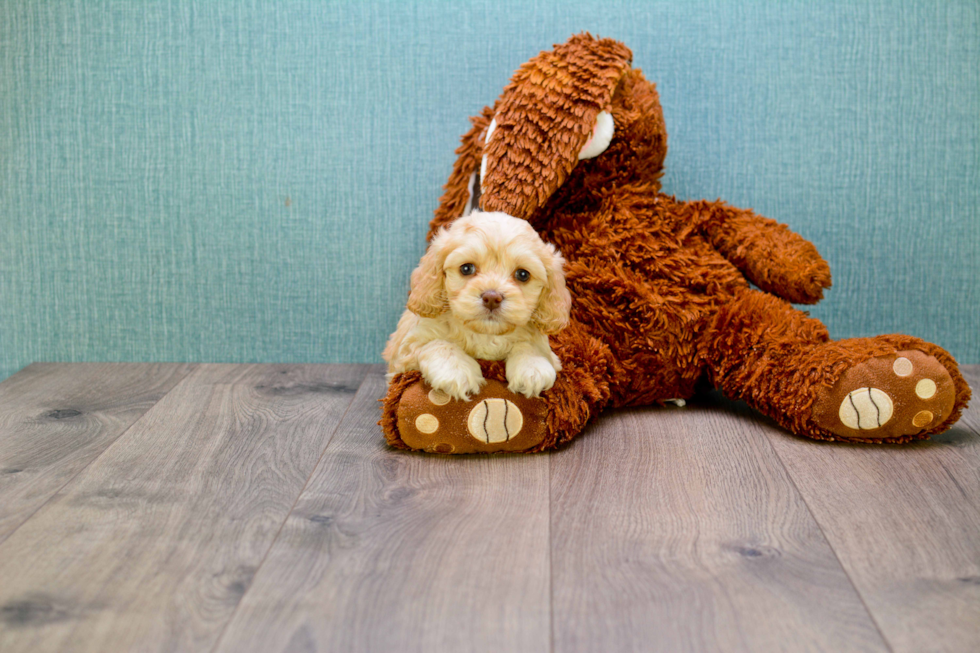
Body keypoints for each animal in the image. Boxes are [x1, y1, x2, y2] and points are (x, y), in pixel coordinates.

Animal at [380, 211, 572, 400]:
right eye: (466, 269)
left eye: (523, 274)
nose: (492, 298)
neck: (485, 333)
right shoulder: (406, 350)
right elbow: (438, 343)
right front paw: (456, 372)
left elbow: (530, 346)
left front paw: (532, 368)